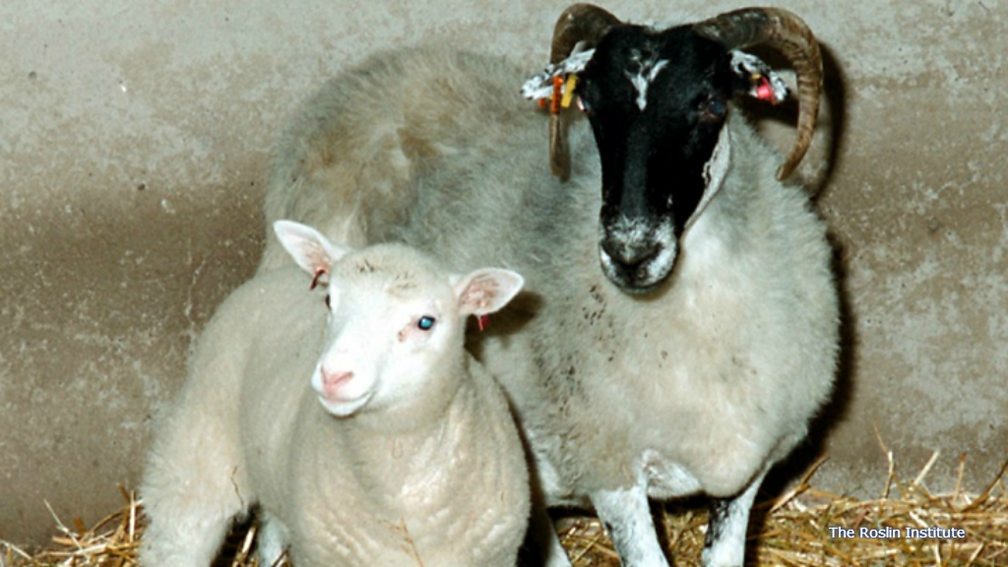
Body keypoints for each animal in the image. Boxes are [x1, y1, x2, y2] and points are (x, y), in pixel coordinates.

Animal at [140, 220, 530, 566]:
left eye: (425, 322)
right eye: (329, 301)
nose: (333, 376)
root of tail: (274, 276)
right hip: (201, 442)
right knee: (178, 530)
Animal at [257, 5, 838, 566]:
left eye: (712, 104)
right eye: (591, 107)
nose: (629, 252)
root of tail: (368, 74)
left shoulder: (751, 465)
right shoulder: (608, 466)